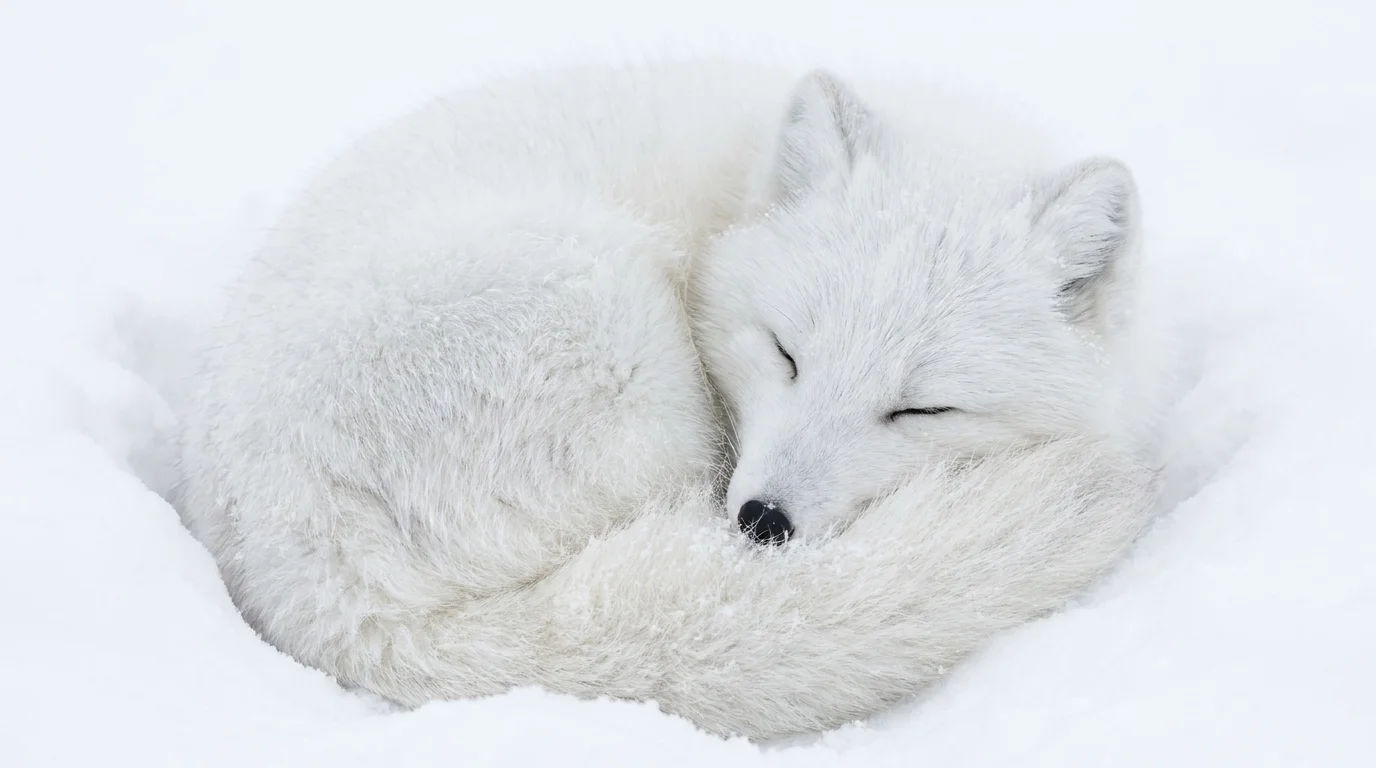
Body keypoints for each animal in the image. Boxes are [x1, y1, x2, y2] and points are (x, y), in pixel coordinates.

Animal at [174, 59, 1156, 739]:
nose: (763, 522)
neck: (727, 199)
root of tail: (314, 582)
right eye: (785, 353)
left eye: (920, 410)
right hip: (615, 326)